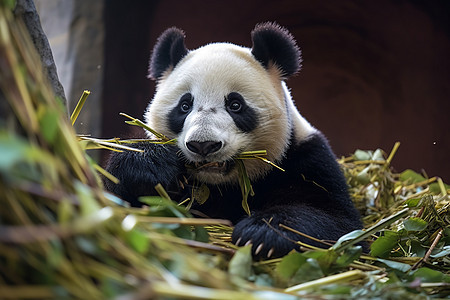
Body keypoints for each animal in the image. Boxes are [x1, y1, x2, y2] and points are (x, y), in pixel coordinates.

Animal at [103, 22, 364, 258]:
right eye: (185, 105)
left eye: (235, 105)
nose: (203, 145)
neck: (221, 185)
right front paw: (150, 164)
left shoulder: (305, 157)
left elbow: (335, 220)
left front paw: (260, 234)